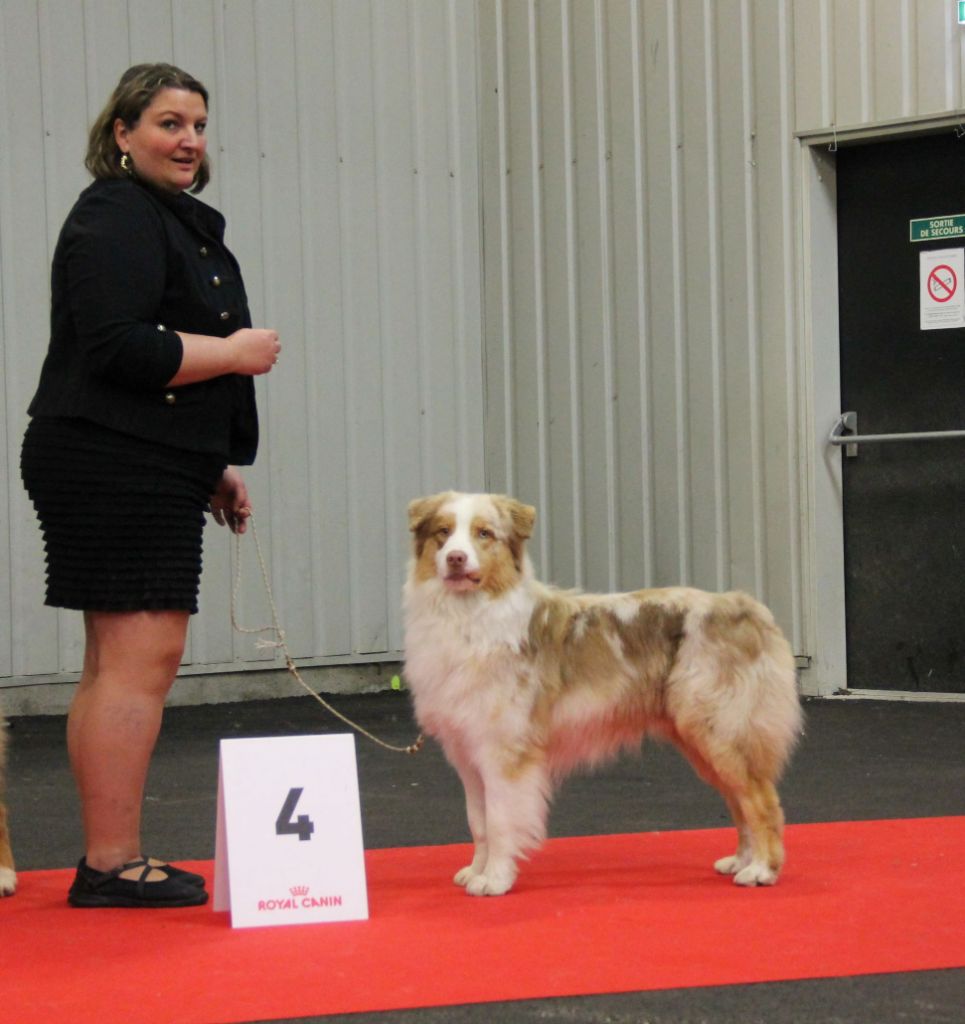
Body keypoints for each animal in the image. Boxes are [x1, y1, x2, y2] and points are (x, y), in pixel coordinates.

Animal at [403, 489, 803, 897]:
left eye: (484, 534)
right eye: (443, 532)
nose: (455, 558)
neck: (469, 615)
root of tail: (746, 607)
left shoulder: (505, 752)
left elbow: (500, 821)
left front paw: (496, 880)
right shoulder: (468, 754)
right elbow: (478, 822)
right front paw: (477, 871)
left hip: (720, 731)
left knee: (762, 801)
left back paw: (762, 870)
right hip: (702, 740)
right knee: (740, 802)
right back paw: (741, 861)